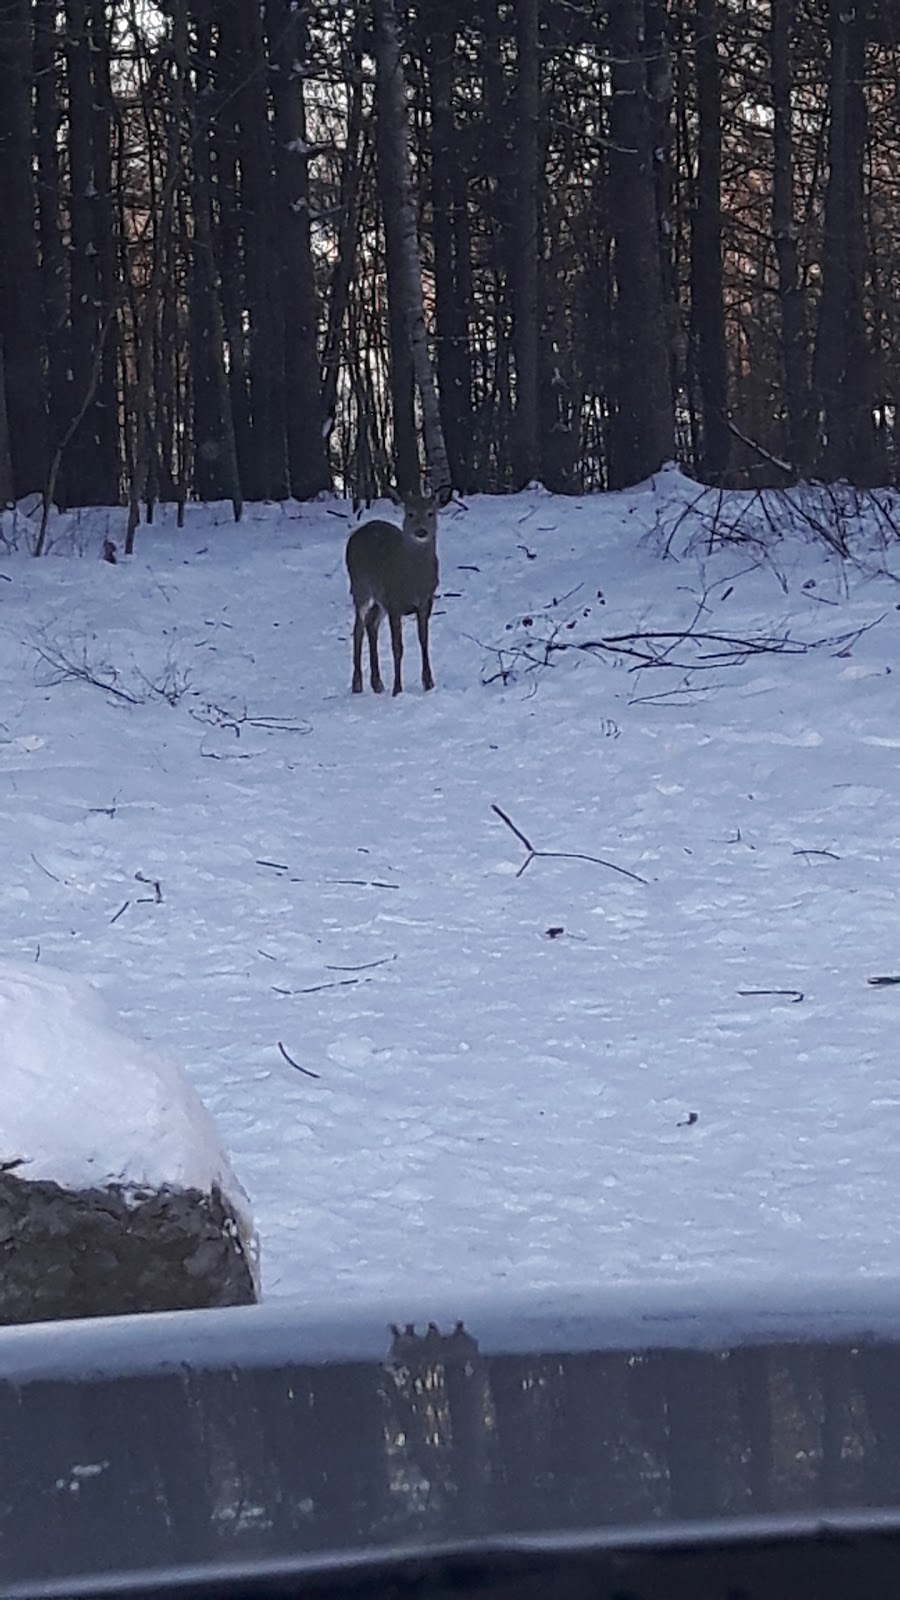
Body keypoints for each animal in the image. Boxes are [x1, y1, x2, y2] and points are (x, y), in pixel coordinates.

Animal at [349, 480, 451, 694]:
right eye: (410, 513)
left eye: (430, 513)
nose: (421, 531)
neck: (413, 581)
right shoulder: (393, 603)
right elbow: (398, 647)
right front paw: (397, 688)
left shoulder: (426, 601)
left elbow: (423, 640)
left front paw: (428, 683)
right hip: (359, 586)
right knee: (358, 627)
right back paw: (357, 683)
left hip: (379, 599)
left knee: (371, 622)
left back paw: (377, 683)